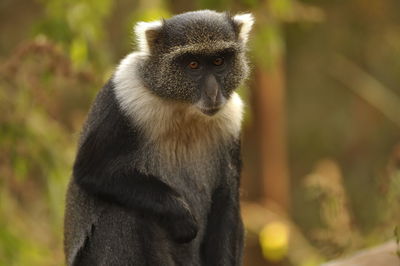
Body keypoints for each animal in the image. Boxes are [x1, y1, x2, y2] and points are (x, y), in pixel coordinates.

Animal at [64, 9, 255, 266]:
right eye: (193, 64)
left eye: (218, 62)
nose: (213, 94)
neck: (185, 110)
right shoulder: (127, 100)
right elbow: (92, 171)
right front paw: (180, 214)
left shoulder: (231, 122)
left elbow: (226, 200)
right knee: (125, 211)